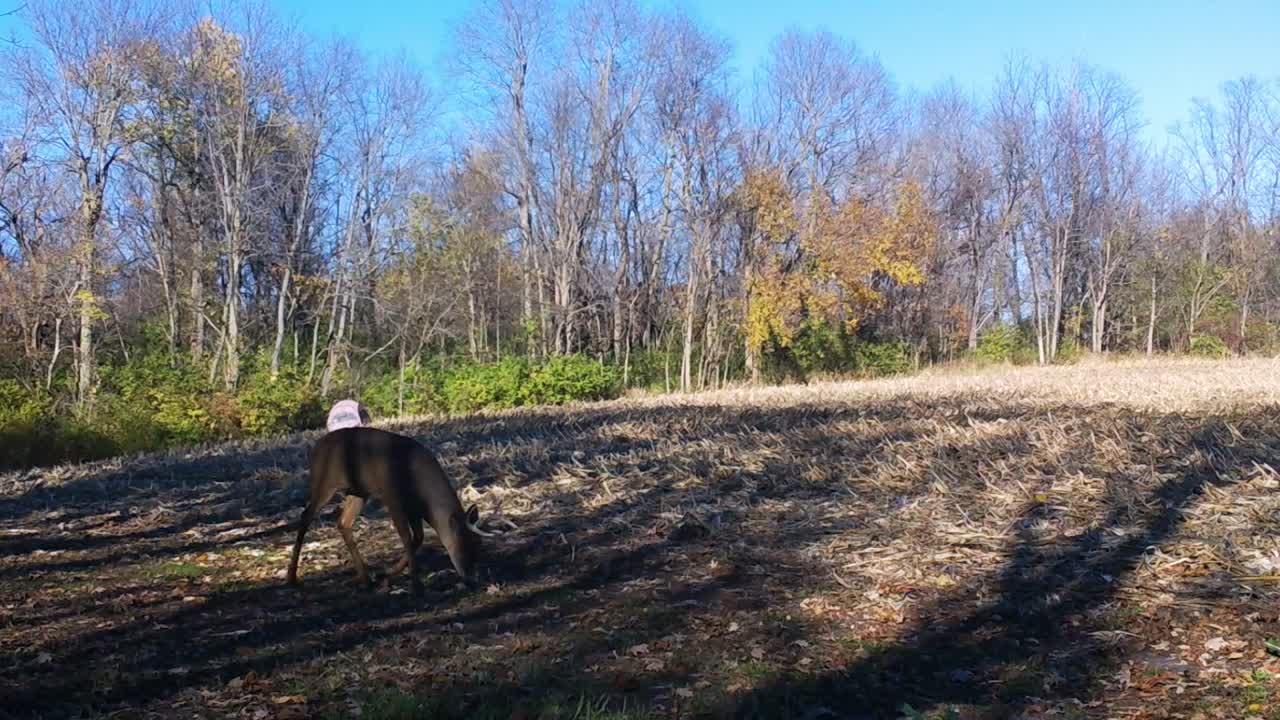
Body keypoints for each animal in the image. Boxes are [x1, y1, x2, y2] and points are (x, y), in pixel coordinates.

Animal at [287, 426, 494, 597]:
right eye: (464, 542)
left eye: (479, 544)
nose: (473, 580)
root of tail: (315, 448)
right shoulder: (392, 495)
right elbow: (406, 537)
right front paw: (416, 586)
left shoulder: (413, 506)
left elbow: (418, 537)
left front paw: (387, 573)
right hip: (324, 482)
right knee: (305, 517)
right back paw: (291, 577)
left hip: (359, 491)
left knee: (343, 523)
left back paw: (365, 579)